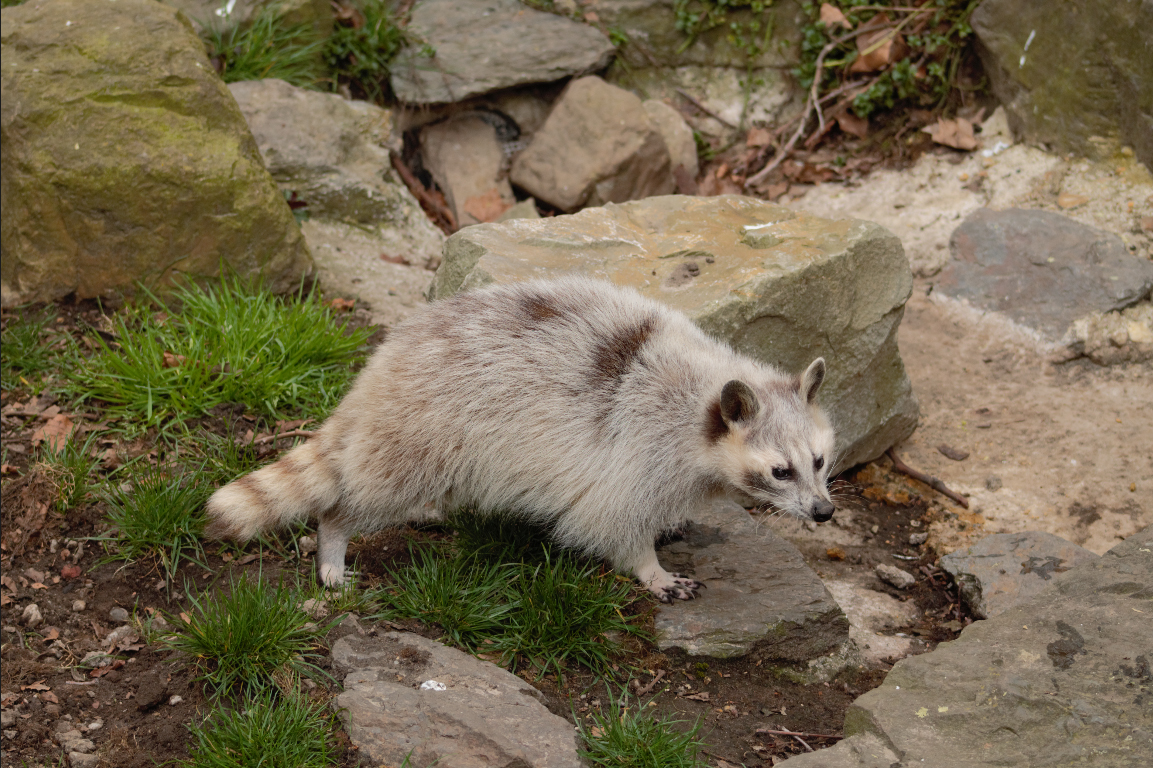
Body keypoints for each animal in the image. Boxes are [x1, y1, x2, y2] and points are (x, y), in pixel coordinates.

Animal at [207, 275, 834, 599]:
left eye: (822, 462)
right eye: (780, 470)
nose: (825, 512)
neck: (703, 397)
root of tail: (384, 364)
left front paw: (673, 522)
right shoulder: (638, 443)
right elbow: (612, 517)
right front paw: (647, 566)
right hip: (426, 427)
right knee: (376, 491)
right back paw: (335, 535)